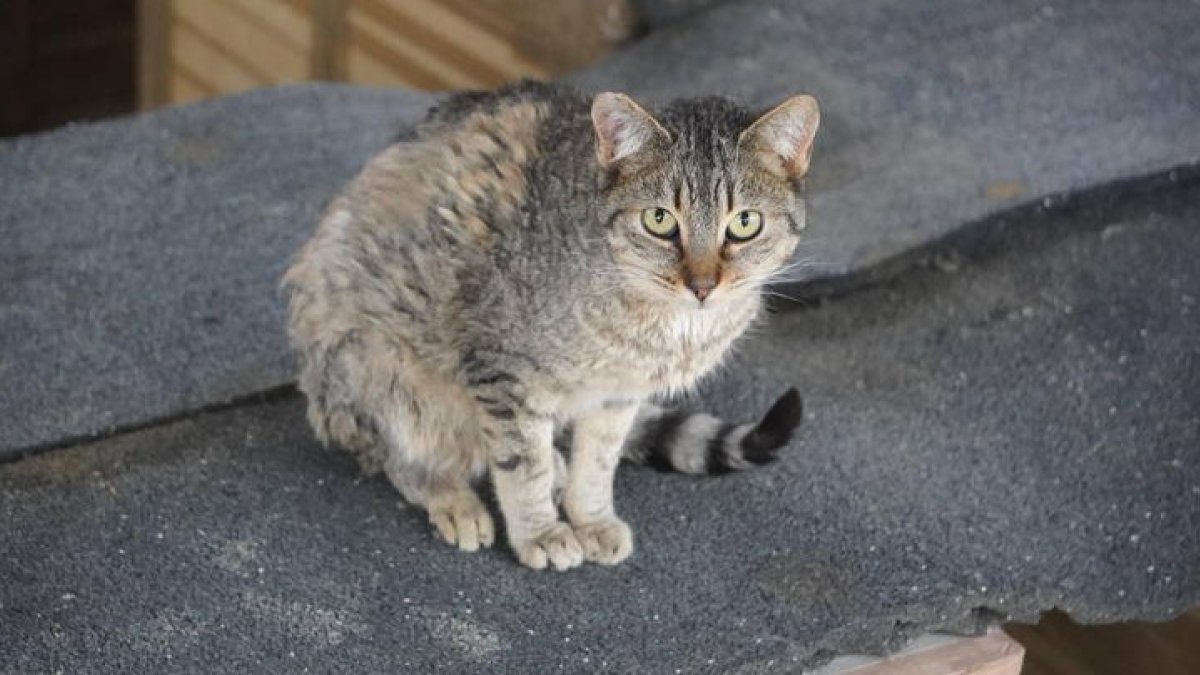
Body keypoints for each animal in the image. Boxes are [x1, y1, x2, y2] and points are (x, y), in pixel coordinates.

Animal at [285, 81, 820, 569]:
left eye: (745, 223)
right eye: (660, 220)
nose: (703, 285)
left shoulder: (618, 394)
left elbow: (599, 461)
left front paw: (590, 518)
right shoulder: (504, 372)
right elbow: (524, 466)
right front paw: (540, 532)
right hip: (378, 368)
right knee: (401, 456)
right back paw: (452, 496)